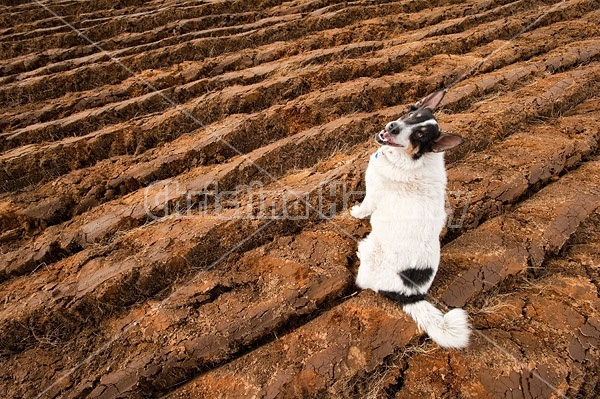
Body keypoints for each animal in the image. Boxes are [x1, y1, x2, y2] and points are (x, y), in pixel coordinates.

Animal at [352, 89, 468, 348]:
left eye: (419, 135)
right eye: (412, 116)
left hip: (372, 248)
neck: (409, 159)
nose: (393, 127)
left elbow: (364, 207)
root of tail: (411, 295)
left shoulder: (373, 194)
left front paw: (355, 212)